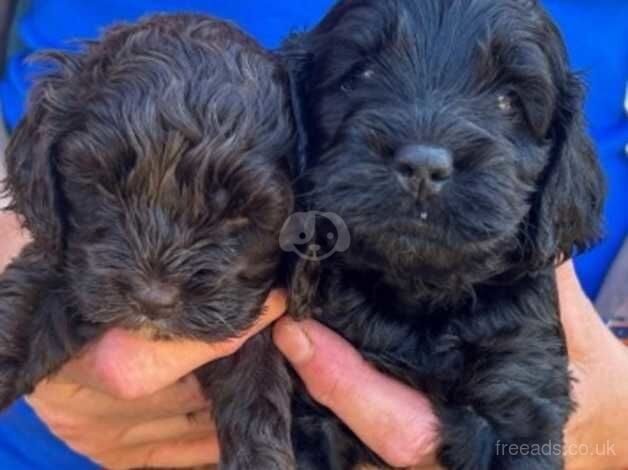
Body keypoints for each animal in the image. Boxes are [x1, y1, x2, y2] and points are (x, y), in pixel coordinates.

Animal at [0, 14, 298, 470]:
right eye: (106, 186)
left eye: (238, 210)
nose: (153, 301)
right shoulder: (65, 263)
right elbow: (20, 311)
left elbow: (256, 388)